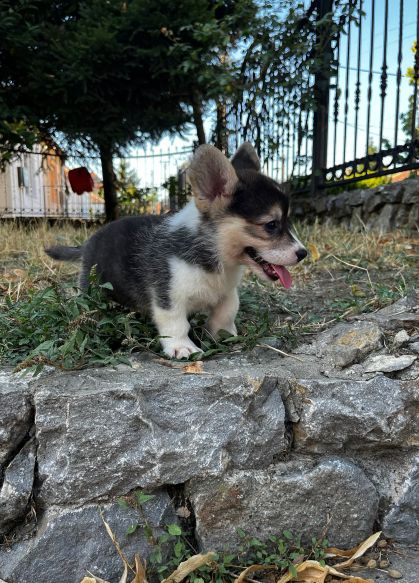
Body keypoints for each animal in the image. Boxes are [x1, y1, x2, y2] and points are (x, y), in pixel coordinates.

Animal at [46, 144, 306, 358]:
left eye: (288, 221)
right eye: (271, 225)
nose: (303, 253)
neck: (215, 257)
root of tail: (90, 241)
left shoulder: (227, 292)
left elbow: (228, 310)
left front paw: (224, 334)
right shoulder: (168, 296)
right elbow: (176, 323)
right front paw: (182, 347)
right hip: (93, 289)